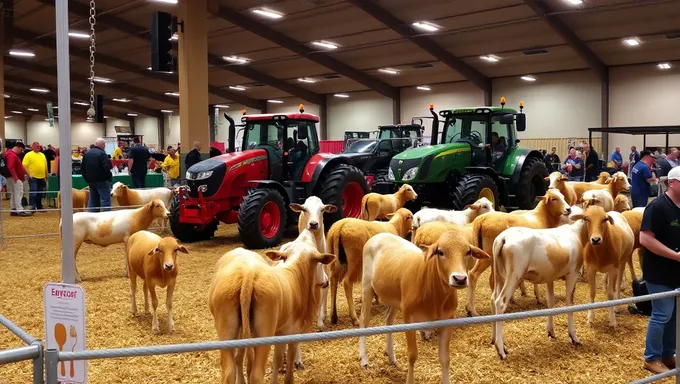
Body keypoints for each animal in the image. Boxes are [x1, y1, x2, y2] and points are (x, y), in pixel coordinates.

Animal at [358, 231, 492, 384]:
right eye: (440, 252)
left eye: (468, 251)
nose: (460, 279)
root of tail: (381, 234)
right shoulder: (409, 318)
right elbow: (412, 355)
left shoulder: (447, 320)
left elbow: (445, 358)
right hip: (367, 286)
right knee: (364, 320)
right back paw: (364, 359)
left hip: (395, 298)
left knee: (389, 320)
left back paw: (391, 356)